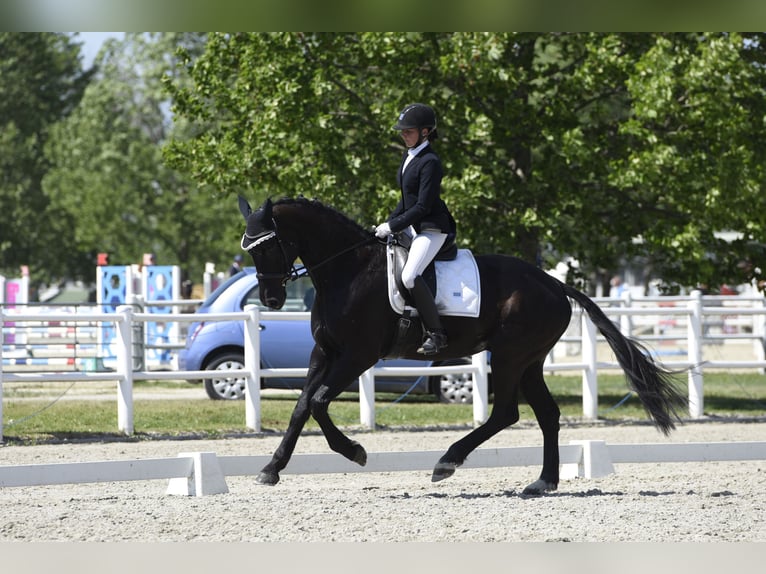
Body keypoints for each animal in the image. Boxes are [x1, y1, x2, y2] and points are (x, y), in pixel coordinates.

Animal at [238, 198, 684, 496]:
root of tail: (554, 284)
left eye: (268, 245)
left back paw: (447, 462)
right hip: (529, 361)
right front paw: (271, 468)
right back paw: (542, 482)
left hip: (508, 357)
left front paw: (355, 452)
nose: (272, 299)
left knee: (506, 412)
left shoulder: (358, 356)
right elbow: (301, 407)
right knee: (547, 414)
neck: (348, 270)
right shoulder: (325, 353)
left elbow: (318, 403)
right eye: (250, 248)